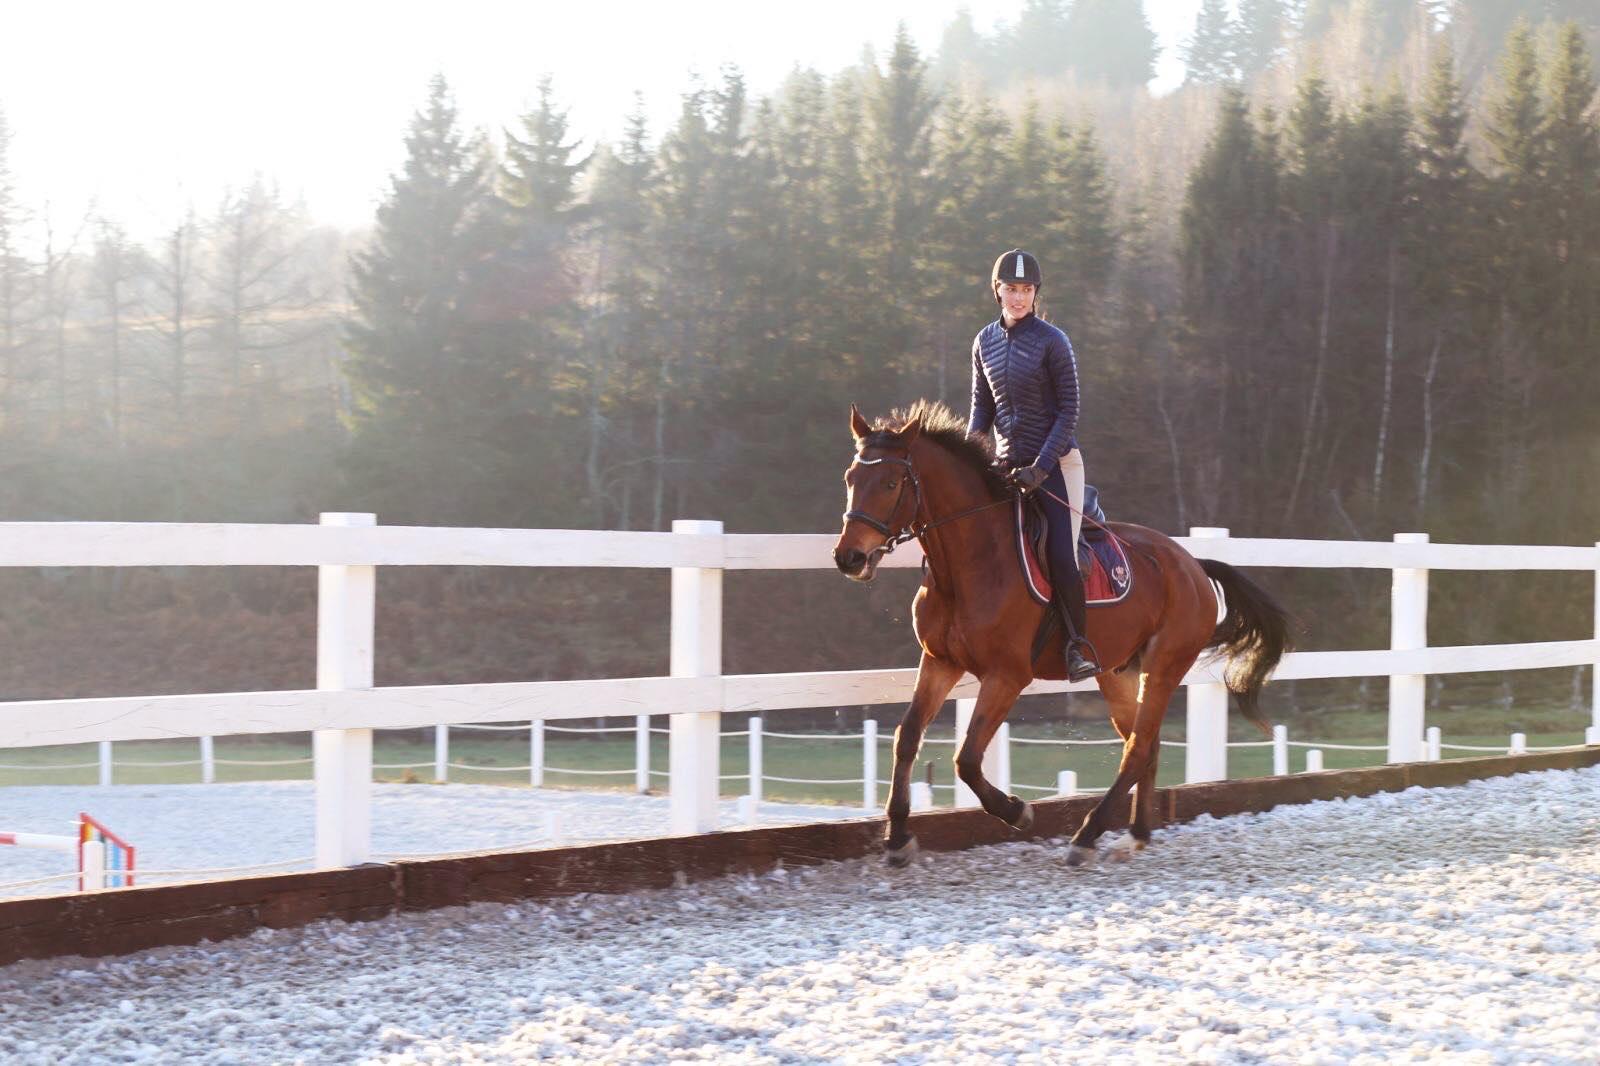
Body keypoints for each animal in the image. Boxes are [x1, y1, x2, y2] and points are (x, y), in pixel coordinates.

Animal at [832, 398, 1292, 864]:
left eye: (890, 482)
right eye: (850, 478)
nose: (849, 557)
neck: (970, 564)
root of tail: (1193, 564)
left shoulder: (1007, 675)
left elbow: (968, 758)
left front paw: (1016, 811)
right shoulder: (940, 661)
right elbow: (907, 736)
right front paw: (897, 836)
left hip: (1163, 666)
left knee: (1137, 748)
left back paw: (1087, 836)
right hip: (1117, 672)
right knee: (1145, 743)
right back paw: (1135, 834)